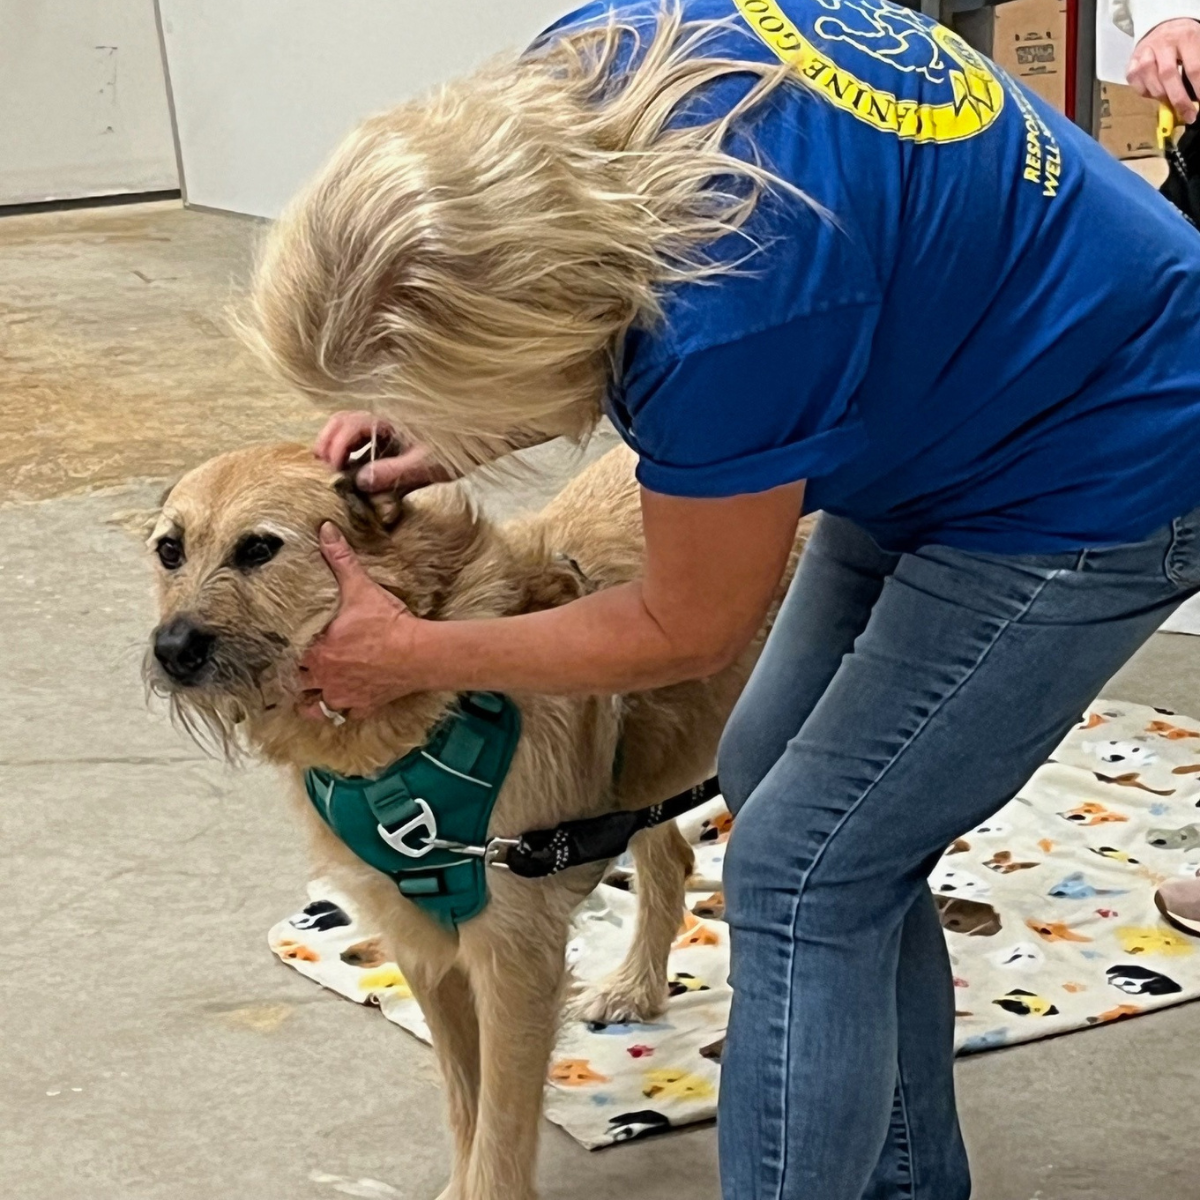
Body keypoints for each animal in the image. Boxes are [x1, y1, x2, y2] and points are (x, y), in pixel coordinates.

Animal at [147, 446, 806, 1200]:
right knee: (671, 858)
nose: (171, 650)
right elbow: (466, 1098)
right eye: (170, 550)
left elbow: (501, 1114)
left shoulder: (515, 956)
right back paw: (637, 986)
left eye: (258, 548)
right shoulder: (424, 948)